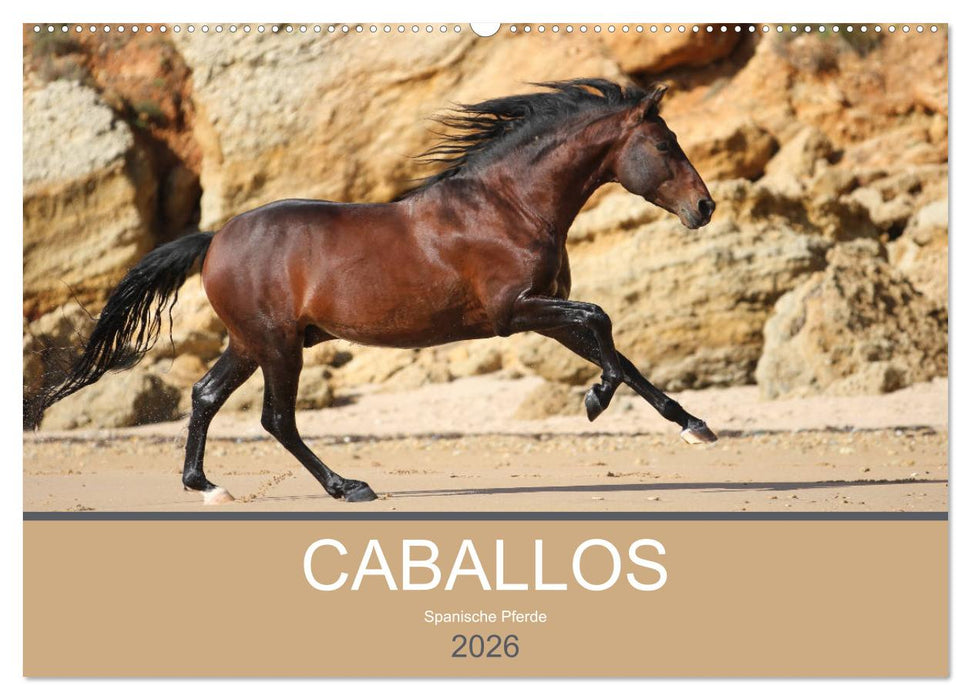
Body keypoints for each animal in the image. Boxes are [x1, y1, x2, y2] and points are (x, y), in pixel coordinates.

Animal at [31, 78, 717, 505]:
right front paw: (599, 402)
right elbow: (602, 322)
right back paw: (347, 487)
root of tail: (215, 238)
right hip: (278, 346)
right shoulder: (514, 311)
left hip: (251, 343)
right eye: (664, 144)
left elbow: (617, 351)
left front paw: (690, 424)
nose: (705, 207)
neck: (508, 205)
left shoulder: (542, 312)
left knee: (204, 396)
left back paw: (206, 486)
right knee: (276, 418)